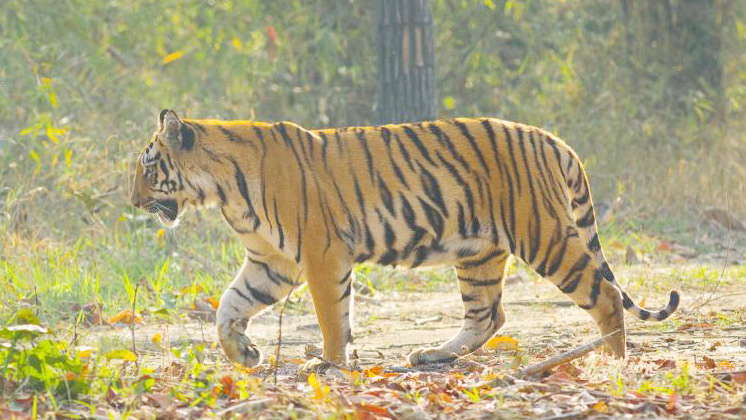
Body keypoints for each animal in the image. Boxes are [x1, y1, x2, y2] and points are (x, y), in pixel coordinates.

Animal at [131, 110, 676, 370]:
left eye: (148, 168)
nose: (134, 202)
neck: (221, 190)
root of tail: (555, 140)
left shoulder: (321, 253)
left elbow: (332, 317)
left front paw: (330, 363)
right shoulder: (272, 262)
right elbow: (229, 306)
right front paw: (243, 354)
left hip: (543, 235)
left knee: (604, 294)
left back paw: (611, 361)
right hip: (479, 251)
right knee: (487, 315)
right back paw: (433, 354)